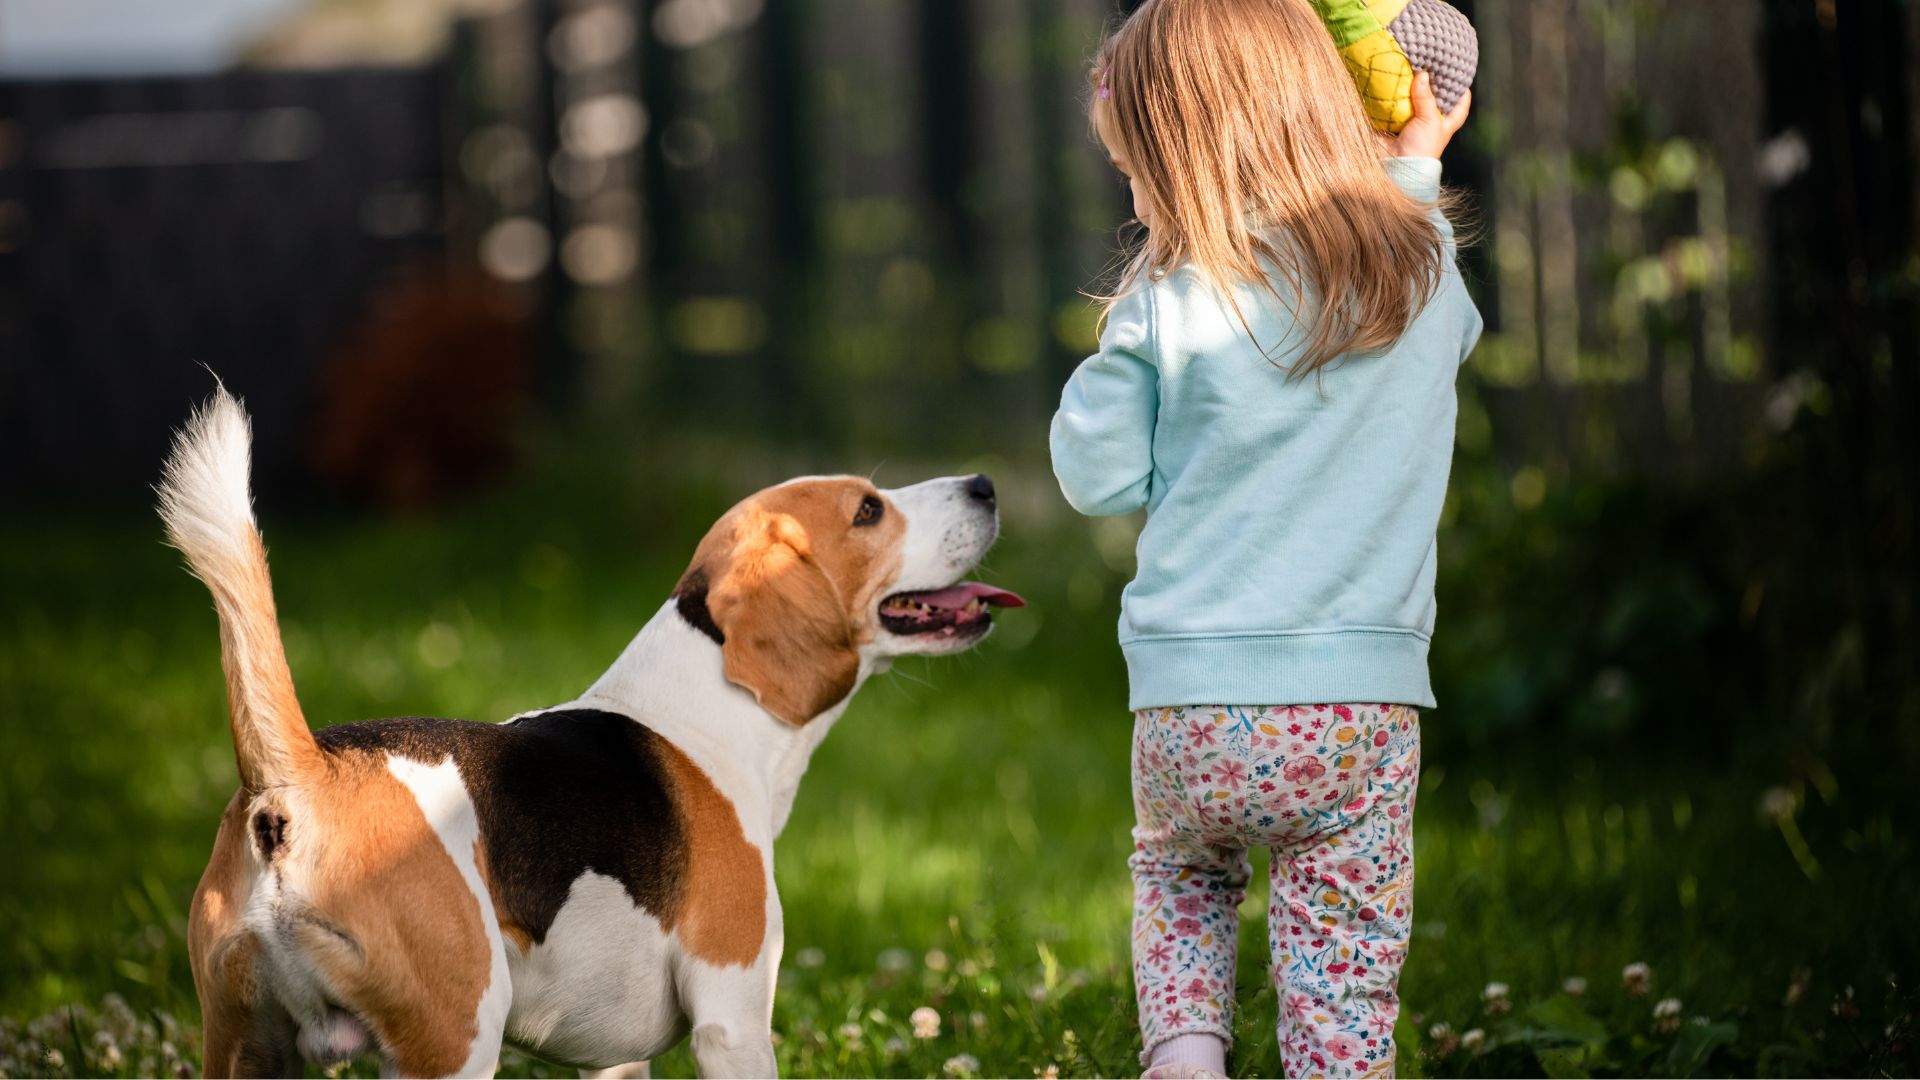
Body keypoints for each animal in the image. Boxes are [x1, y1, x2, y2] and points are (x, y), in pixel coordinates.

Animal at [159, 388, 1029, 1076]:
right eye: (868, 510)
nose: (986, 484)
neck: (708, 709)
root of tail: (300, 775)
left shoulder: (614, 1061)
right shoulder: (733, 1017)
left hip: (242, 1047)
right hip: (455, 1038)